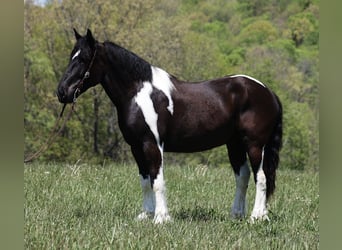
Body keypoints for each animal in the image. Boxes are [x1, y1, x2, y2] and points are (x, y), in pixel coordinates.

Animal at [56, 29, 284, 225]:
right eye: (71, 56)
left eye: (84, 59)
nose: (62, 92)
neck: (139, 93)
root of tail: (267, 91)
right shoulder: (136, 147)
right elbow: (145, 180)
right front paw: (146, 214)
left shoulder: (152, 144)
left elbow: (157, 180)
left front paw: (161, 218)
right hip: (234, 144)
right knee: (243, 177)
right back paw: (237, 214)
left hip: (254, 144)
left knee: (261, 177)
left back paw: (257, 216)